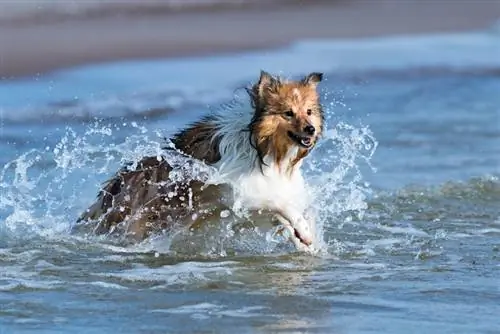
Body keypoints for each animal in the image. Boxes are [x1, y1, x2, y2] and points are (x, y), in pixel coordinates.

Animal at [75, 71, 322, 250]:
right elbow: (281, 204)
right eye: (288, 113)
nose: (310, 129)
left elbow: (283, 215)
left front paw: (304, 240)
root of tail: (111, 190)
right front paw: (305, 231)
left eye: (309, 111)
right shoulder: (234, 191)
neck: (264, 149)